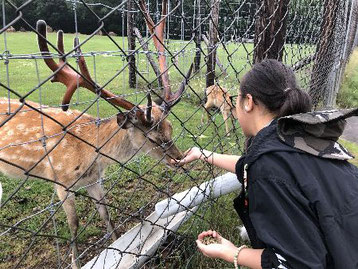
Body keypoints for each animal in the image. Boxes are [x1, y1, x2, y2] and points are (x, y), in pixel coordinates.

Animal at [0, 4, 193, 266]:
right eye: (153, 138)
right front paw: (74, 262)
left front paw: (117, 246)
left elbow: (106, 213)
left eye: (171, 128)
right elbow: (74, 224)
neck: (90, 154)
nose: (180, 160)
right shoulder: (61, 180)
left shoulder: (94, 180)